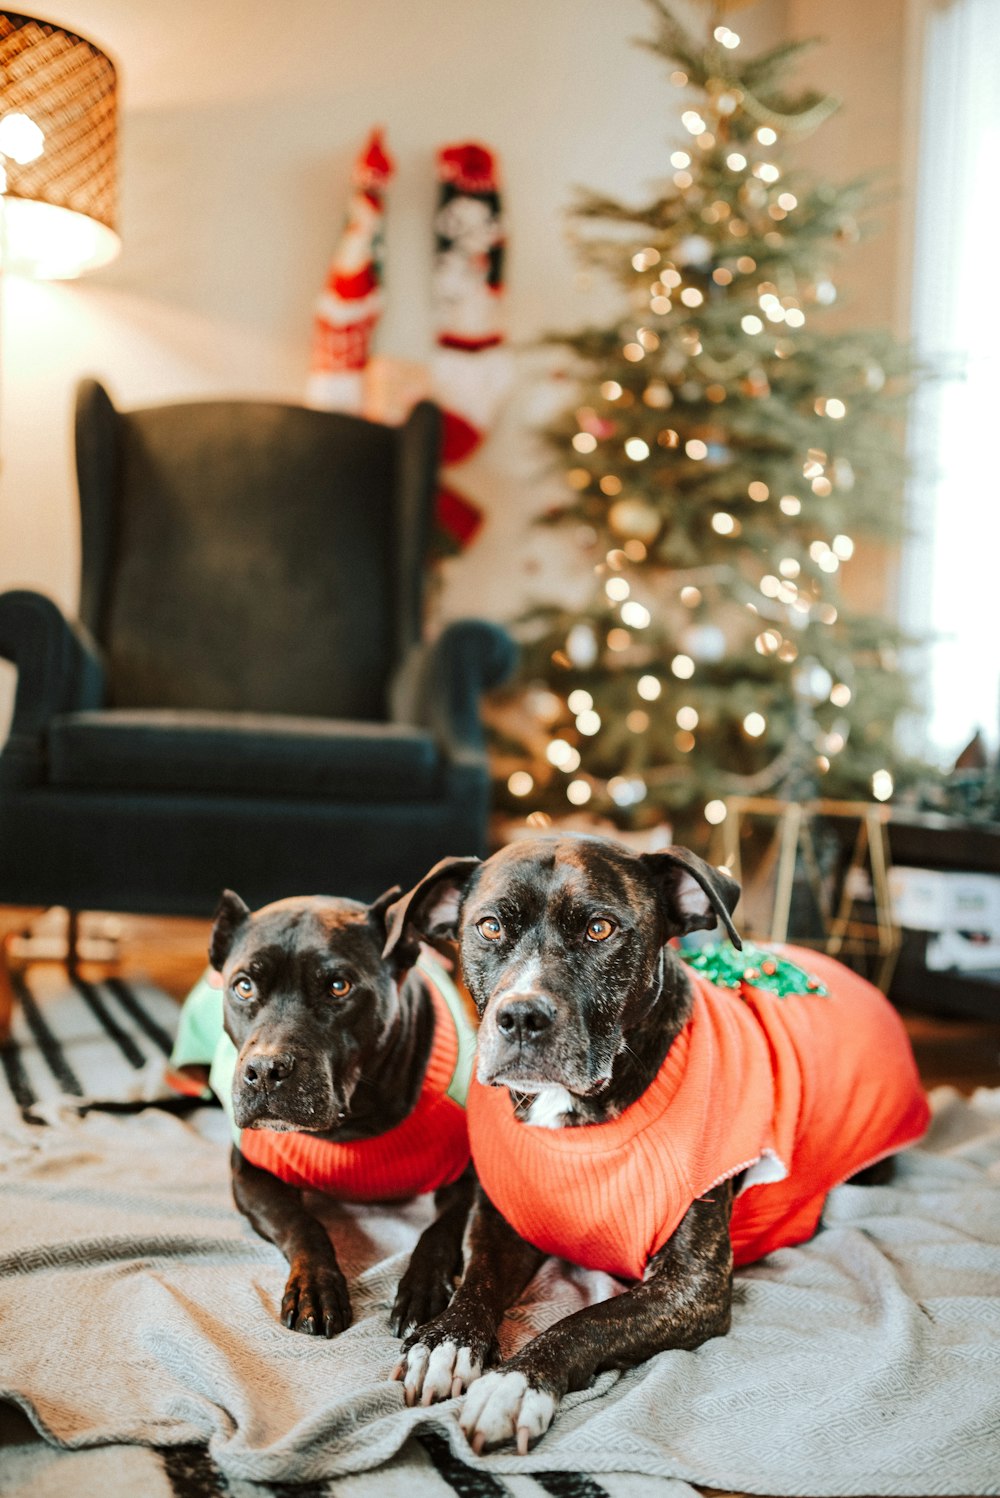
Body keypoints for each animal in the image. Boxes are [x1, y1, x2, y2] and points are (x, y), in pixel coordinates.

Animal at [203, 886, 476, 1336]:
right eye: (243, 987)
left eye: (338, 986)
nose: (265, 1071)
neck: (352, 1124)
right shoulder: (250, 1174)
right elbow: (304, 1224)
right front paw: (314, 1284)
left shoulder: (470, 1178)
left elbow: (440, 1232)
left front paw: (422, 1288)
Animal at [386, 838, 928, 1444]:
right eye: (490, 927)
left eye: (599, 929)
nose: (521, 1016)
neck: (579, 1121)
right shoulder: (503, 1220)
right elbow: (478, 1277)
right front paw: (447, 1341)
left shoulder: (692, 1288)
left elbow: (587, 1320)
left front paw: (517, 1381)